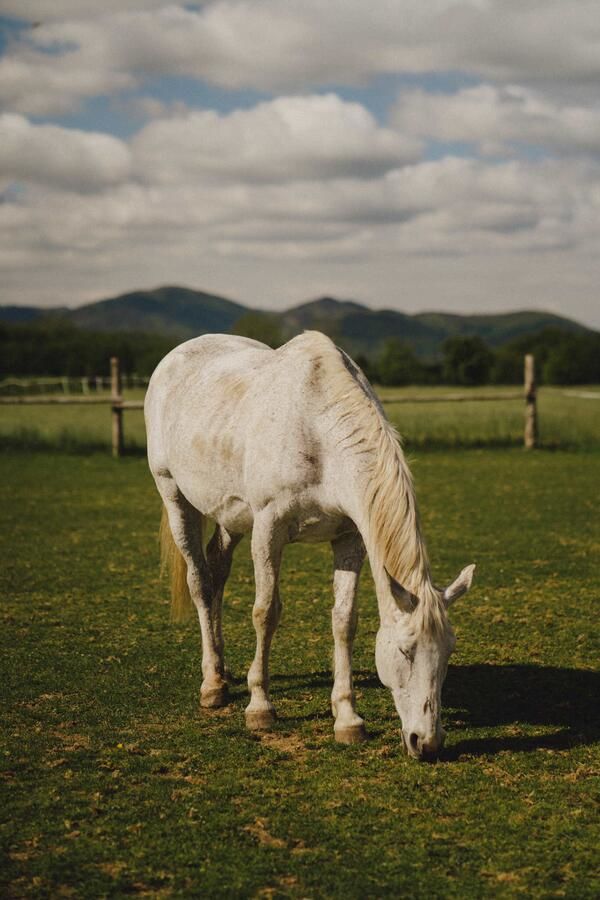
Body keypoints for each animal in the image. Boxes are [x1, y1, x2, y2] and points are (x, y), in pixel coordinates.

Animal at [144, 330, 474, 760]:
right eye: (405, 651)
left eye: (449, 651)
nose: (428, 742)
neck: (318, 433)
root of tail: (175, 356)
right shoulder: (269, 528)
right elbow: (266, 613)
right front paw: (260, 707)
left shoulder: (349, 538)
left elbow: (344, 621)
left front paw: (348, 719)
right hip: (174, 495)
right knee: (200, 582)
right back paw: (212, 685)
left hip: (230, 516)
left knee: (217, 572)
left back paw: (222, 668)